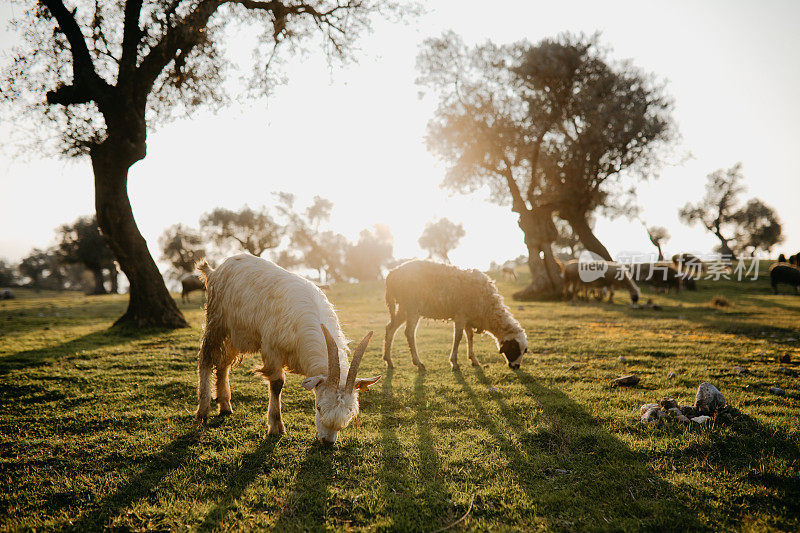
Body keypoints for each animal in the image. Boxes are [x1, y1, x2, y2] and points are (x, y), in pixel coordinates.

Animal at [195, 256, 380, 442]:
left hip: (236, 332)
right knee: (206, 359)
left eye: (350, 412)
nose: (327, 442)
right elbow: (277, 383)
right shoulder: (271, 348)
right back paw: (203, 412)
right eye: (318, 407)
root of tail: (216, 270)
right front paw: (276, 426)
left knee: (224, 364)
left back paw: (225, 405)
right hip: (216, 320)